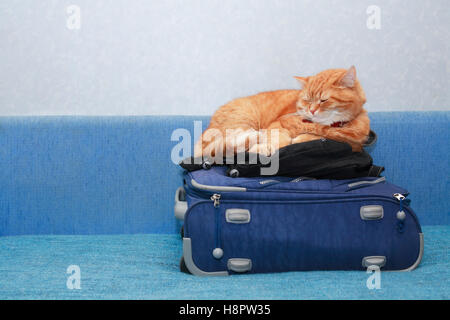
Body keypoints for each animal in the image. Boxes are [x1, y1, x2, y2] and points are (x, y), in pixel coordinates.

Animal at [195, 66, 370, 159]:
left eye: (323, 100)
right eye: (307, 100)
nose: (312, 110)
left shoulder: (353, 143)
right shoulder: (277, 124)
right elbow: (279, 139)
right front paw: (267, 147)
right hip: (244, 121)